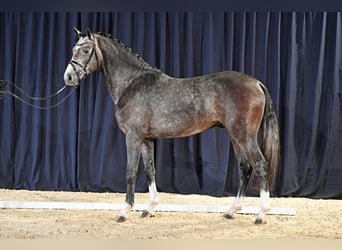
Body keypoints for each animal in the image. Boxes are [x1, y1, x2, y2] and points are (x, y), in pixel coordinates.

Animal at [64, 27, 280, 225]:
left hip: (244, 136)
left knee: (260, 165)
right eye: (74, 48)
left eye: (85, 50)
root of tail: (257, 83)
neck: (132, 83)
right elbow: (150, 171)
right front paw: (149, 209)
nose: (68, 77)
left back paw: (261, 214)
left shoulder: (133, 137)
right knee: (245, 168)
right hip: (236, 137)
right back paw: (231, 211)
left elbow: (130, 173)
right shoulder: (146, 140)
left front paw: (124, 212)